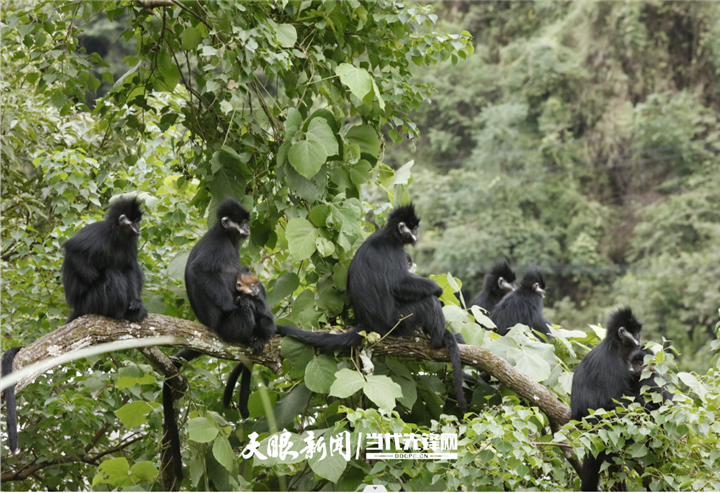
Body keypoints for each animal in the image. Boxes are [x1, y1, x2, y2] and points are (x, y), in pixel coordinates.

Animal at [222, 268, 278, 418]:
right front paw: (240, 299)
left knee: (263, 319)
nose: (256, 289)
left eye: (256, 285)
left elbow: (262, 310)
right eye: (252, 285)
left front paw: (246, 300)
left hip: (268, 329)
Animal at [276, 204, 466, 412]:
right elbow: (399, 284)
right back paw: (440, 339)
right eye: (414, 228)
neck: (389, 235)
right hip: (398, 320)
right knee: (427, 302)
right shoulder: (394, 251)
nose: (417, 234)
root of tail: (369, 323)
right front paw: (437, 289)